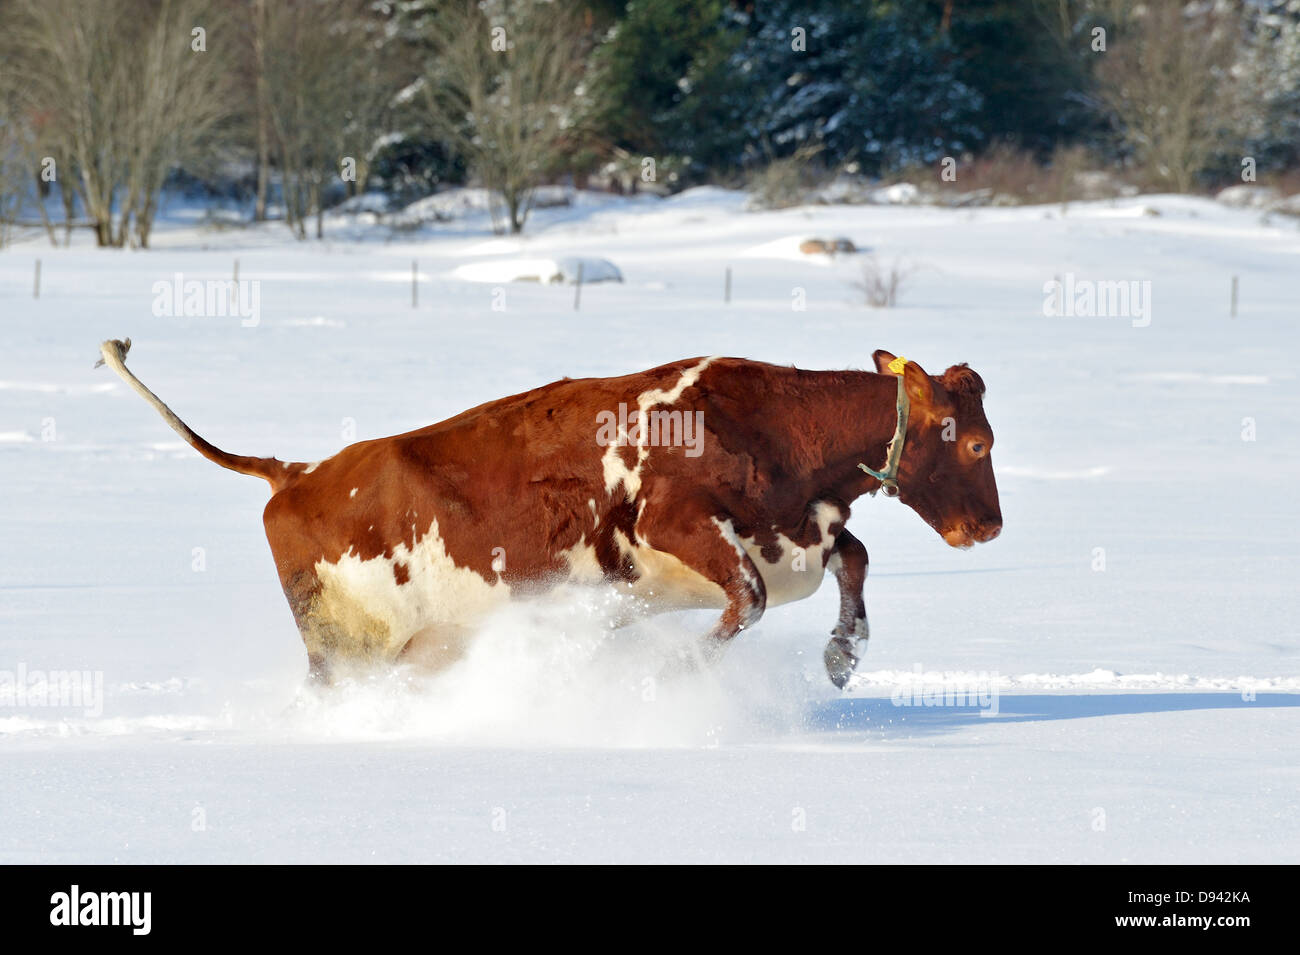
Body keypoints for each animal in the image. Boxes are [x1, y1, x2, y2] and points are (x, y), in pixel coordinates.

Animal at [96, 339, 1001, 688]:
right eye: (975, 442)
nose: (988, 527)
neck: (768, 426)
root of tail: (295, 472)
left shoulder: (798, 536)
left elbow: (853, 558)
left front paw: (843, 656)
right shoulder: (678, 525)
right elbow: (744, 600)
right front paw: (666, 675)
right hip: (348, 649)